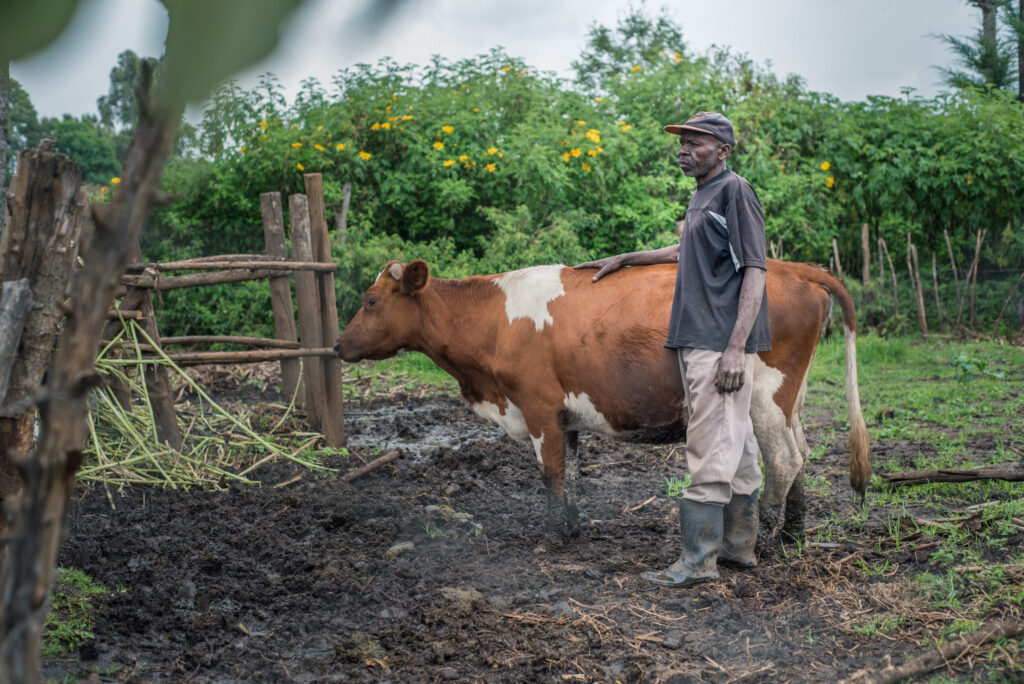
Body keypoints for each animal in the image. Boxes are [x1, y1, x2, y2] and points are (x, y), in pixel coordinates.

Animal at [333, 259, 864, 540]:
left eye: (372, 301)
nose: (337, 346)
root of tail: (790, 267)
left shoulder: (538, 407)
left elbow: (550, 474)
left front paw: (554, 534)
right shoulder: (565, 416)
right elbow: (570, 472)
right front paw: (571, 525)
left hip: (764, 397)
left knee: (784, 458)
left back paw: (768, 536)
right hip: (789, 401)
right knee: (802, 455)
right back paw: (793, 531)